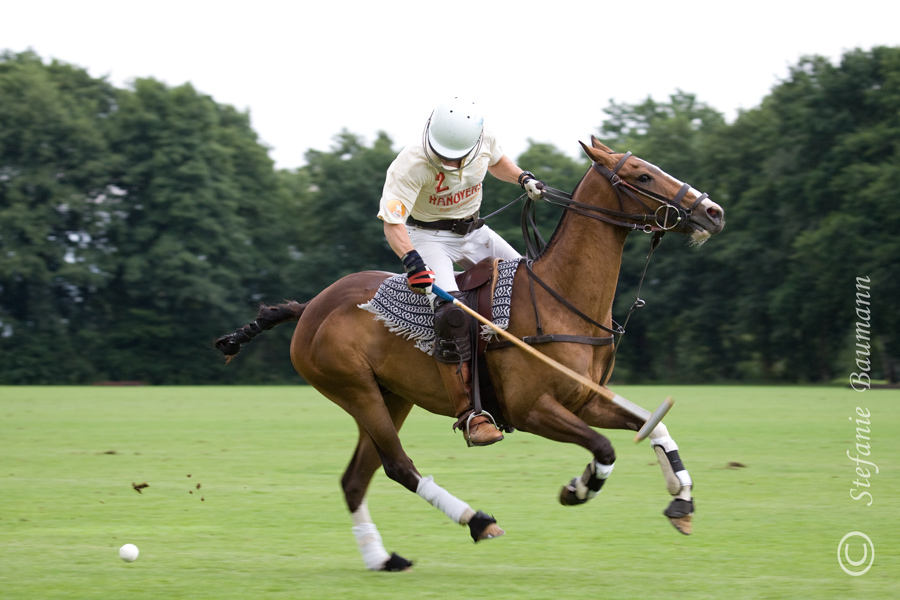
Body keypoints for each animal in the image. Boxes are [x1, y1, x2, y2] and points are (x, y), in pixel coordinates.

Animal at [216, 138, 724, 568]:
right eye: (642, 175)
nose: (713, 212)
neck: (562, 298)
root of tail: (311, 306)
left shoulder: (586, 399)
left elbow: (653, 425)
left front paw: (681, 500)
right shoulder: (532, 408)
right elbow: (604, 447)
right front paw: (578, 488)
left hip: (391, 396)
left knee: (356, 477)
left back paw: (381, 559)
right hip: (354, 389)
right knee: (398, 465)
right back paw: (477, 520)